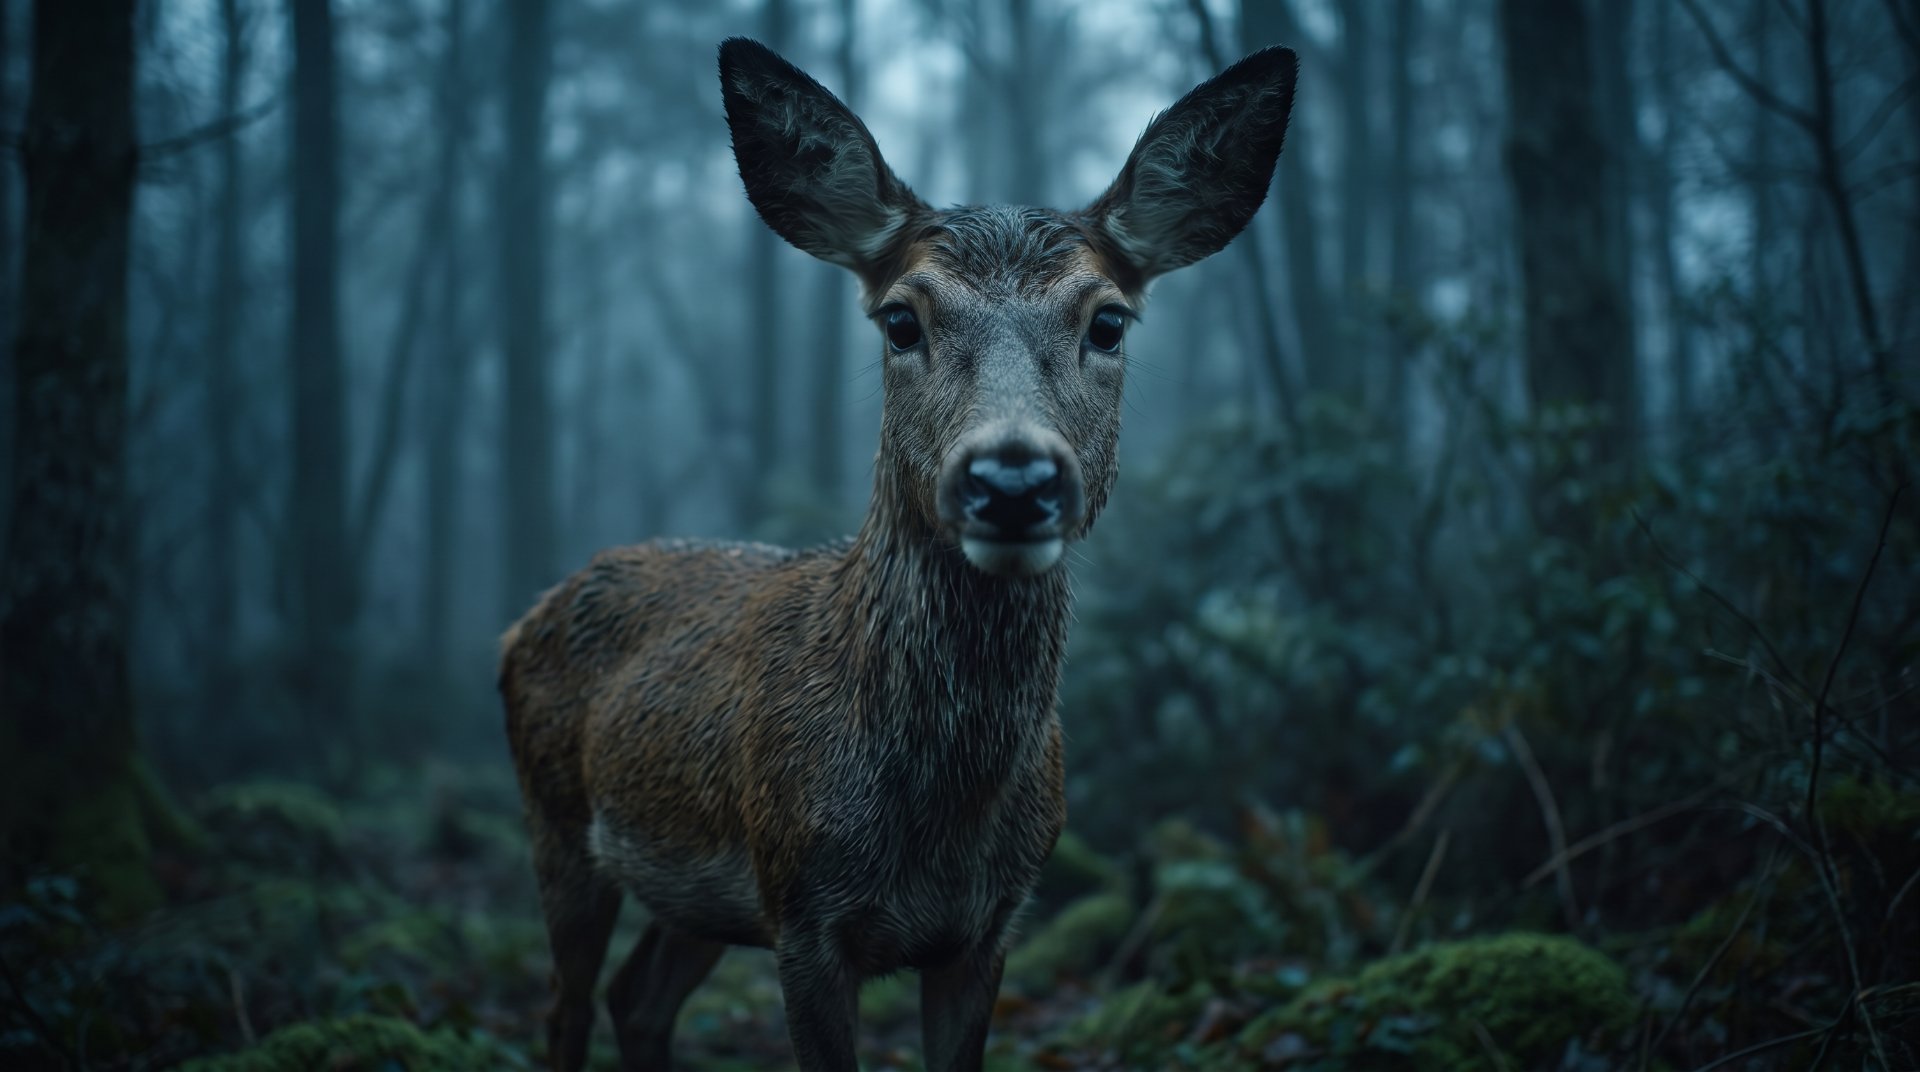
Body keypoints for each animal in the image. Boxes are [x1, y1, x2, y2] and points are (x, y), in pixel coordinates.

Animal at [500, 36, 1296, 1072]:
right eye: (901, 320)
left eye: (1108, 320)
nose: (1012, 480)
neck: (936, 822)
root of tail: (527, 618)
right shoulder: (804, 911)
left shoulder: (991, 925)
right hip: (556, 818)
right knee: (563, 1004)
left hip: (698, 894)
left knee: (636, 998)